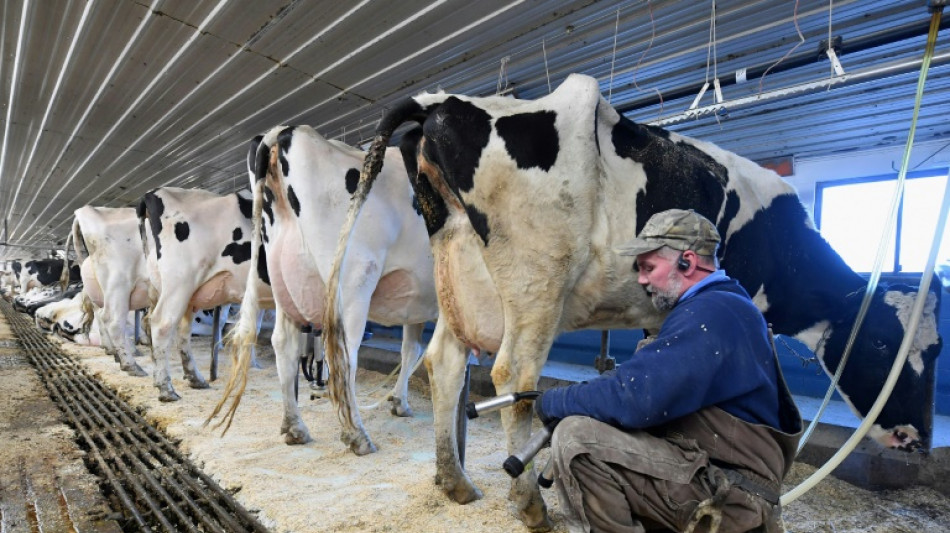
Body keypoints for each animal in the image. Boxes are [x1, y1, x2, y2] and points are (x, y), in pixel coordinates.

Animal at [66, 206, 152, 376]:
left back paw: (114, 352)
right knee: (112, 320)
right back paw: (131, 364)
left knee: (101, 315)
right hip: (118, 284)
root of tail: (86, 209)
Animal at [139, 186, 278, 400]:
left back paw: (194, 378)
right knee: (161, 324)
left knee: (177, 330)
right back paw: (166, 389)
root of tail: (154, 193)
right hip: (180, 282)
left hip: (173, 291)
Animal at [210, 125, 436, 448]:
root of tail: (286, 131)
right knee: (343, 351)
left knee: (283, 344)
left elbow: (410, 349)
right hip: (353, 281)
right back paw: (356, 434)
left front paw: (399, 402)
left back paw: (294, 427)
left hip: (283, 282)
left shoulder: (415, 305)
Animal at [328, 74, 944, 528]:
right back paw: (530, 505)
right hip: (537, 278)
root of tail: (441, 102)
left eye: (938, 348)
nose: (917, 439)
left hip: (461, 281)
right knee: (511, 375)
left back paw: (455, 483)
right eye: (884, 342)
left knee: (445, 364)